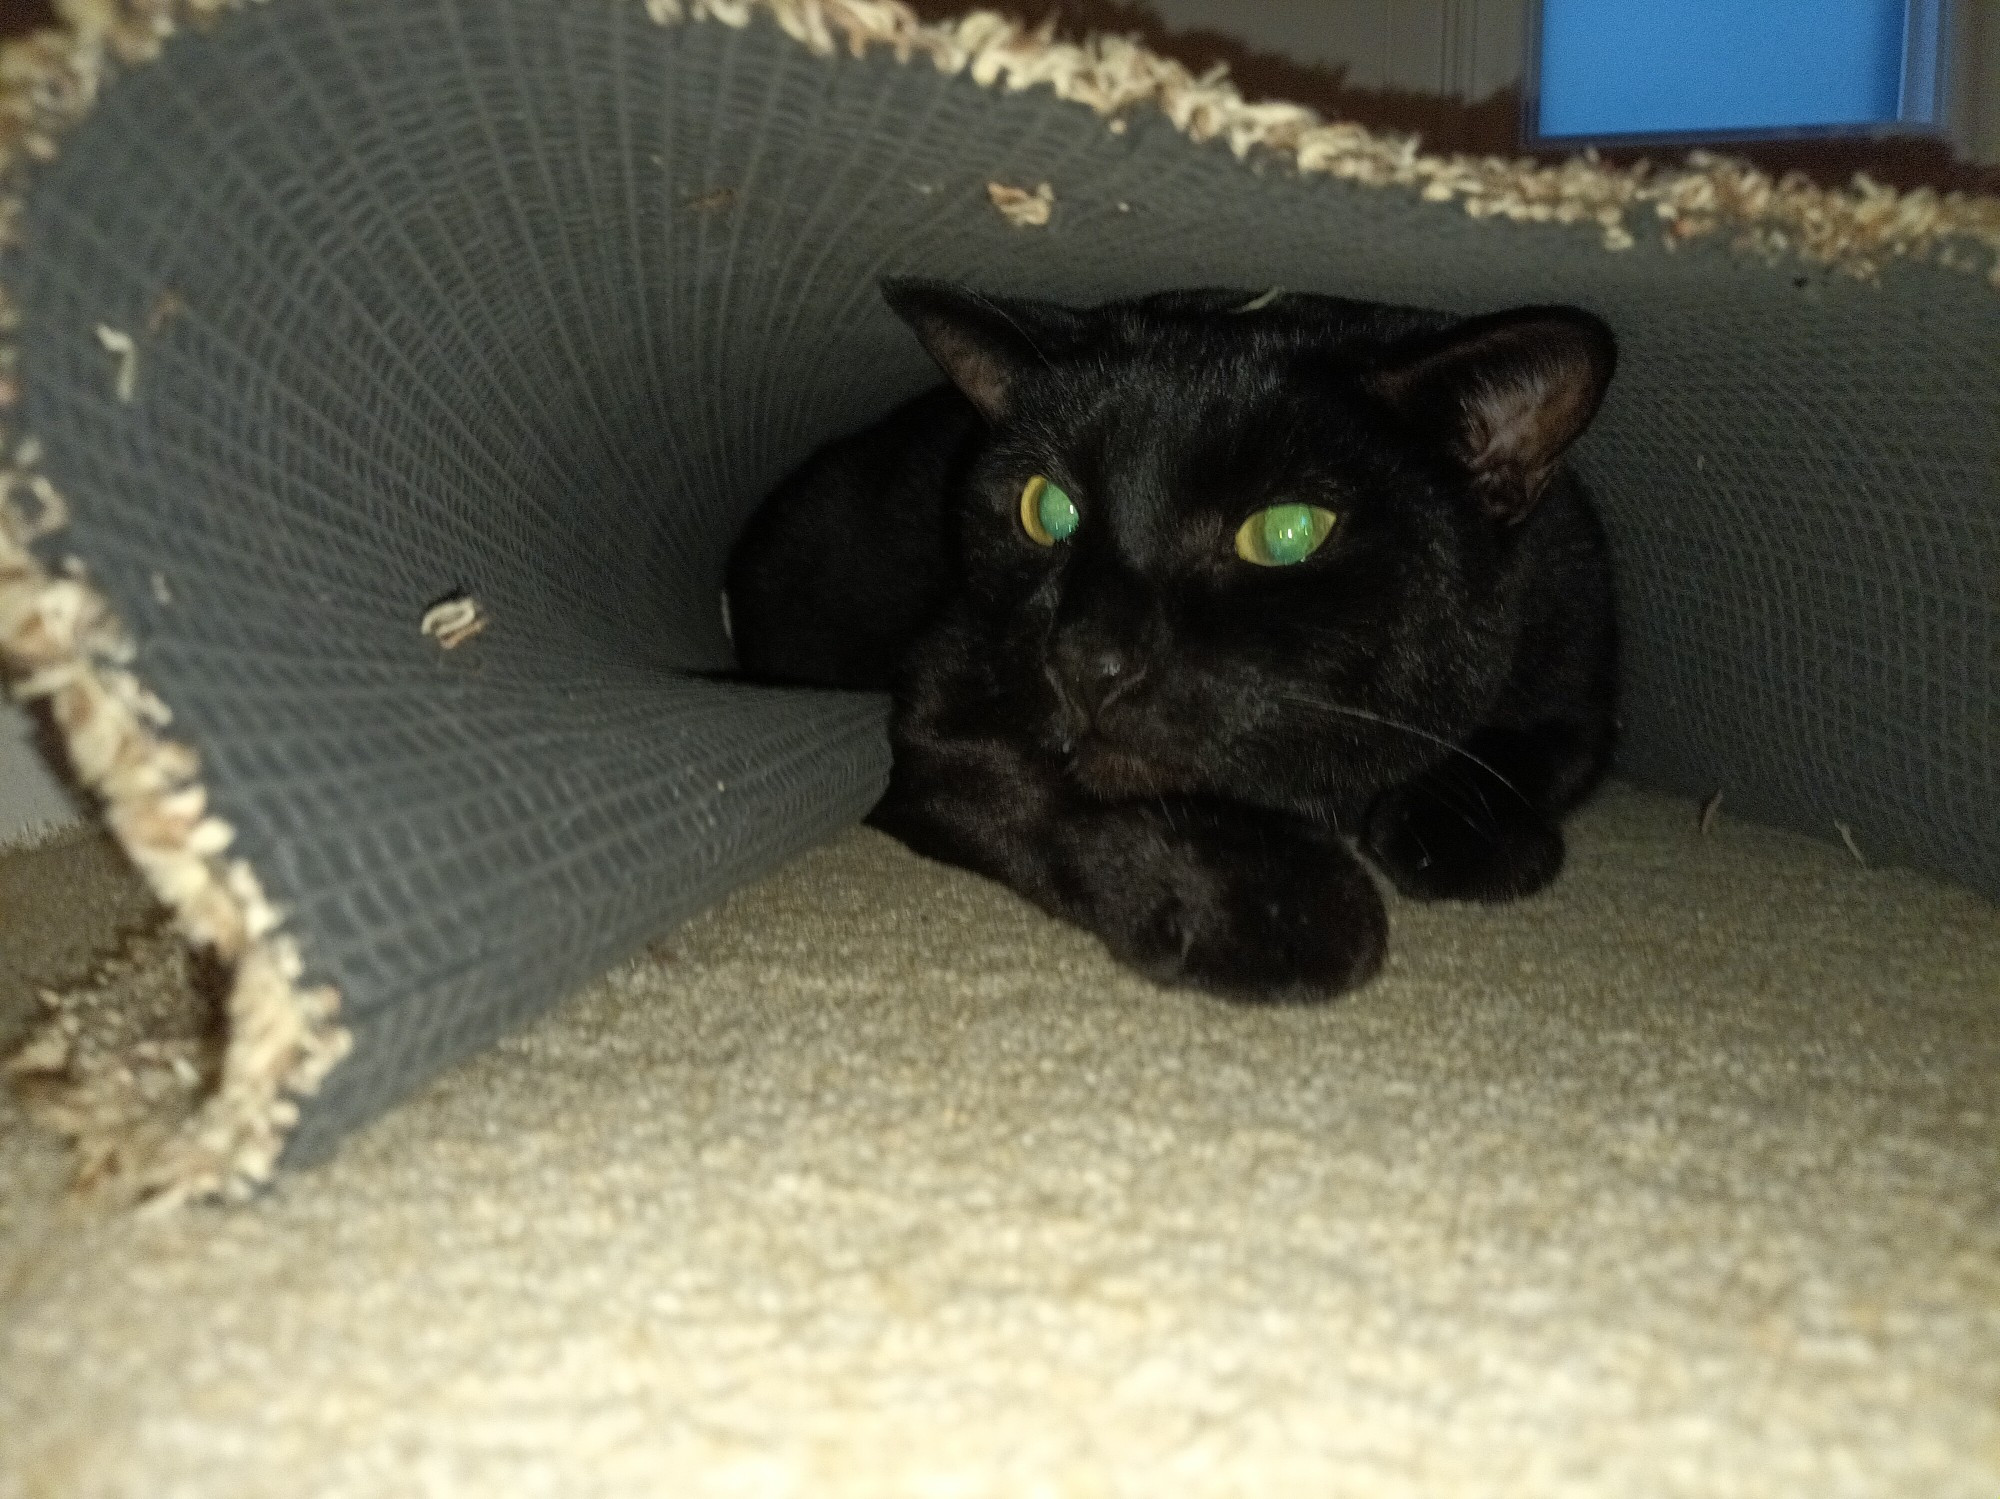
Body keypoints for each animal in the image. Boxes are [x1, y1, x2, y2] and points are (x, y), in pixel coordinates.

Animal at [728, 283, 1616, 999]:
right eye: (1046, 509)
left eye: (1288, 532)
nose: (1087, 659)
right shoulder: (942, 688)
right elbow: (1038, 786)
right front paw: (1263, 900)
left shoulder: (1574, 638)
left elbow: (1546, 745)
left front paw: (1460, 827)